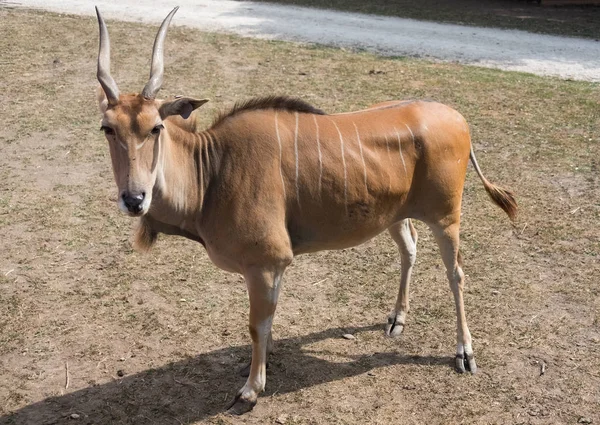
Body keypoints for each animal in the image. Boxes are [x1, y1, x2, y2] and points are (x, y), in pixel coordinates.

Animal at [95, 7, 516, 414]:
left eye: (156, 128)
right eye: (107, 128)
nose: (134, 199)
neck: (212, 168)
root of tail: (458, 118)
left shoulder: (266, 262)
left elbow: (256, 325)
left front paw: (250, 390)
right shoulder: (272, 267)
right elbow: (267, 323)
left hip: (446, 217)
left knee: (456, 273)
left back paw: (464, 352)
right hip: (396, 215)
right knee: (410, 248)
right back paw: (397, 319)